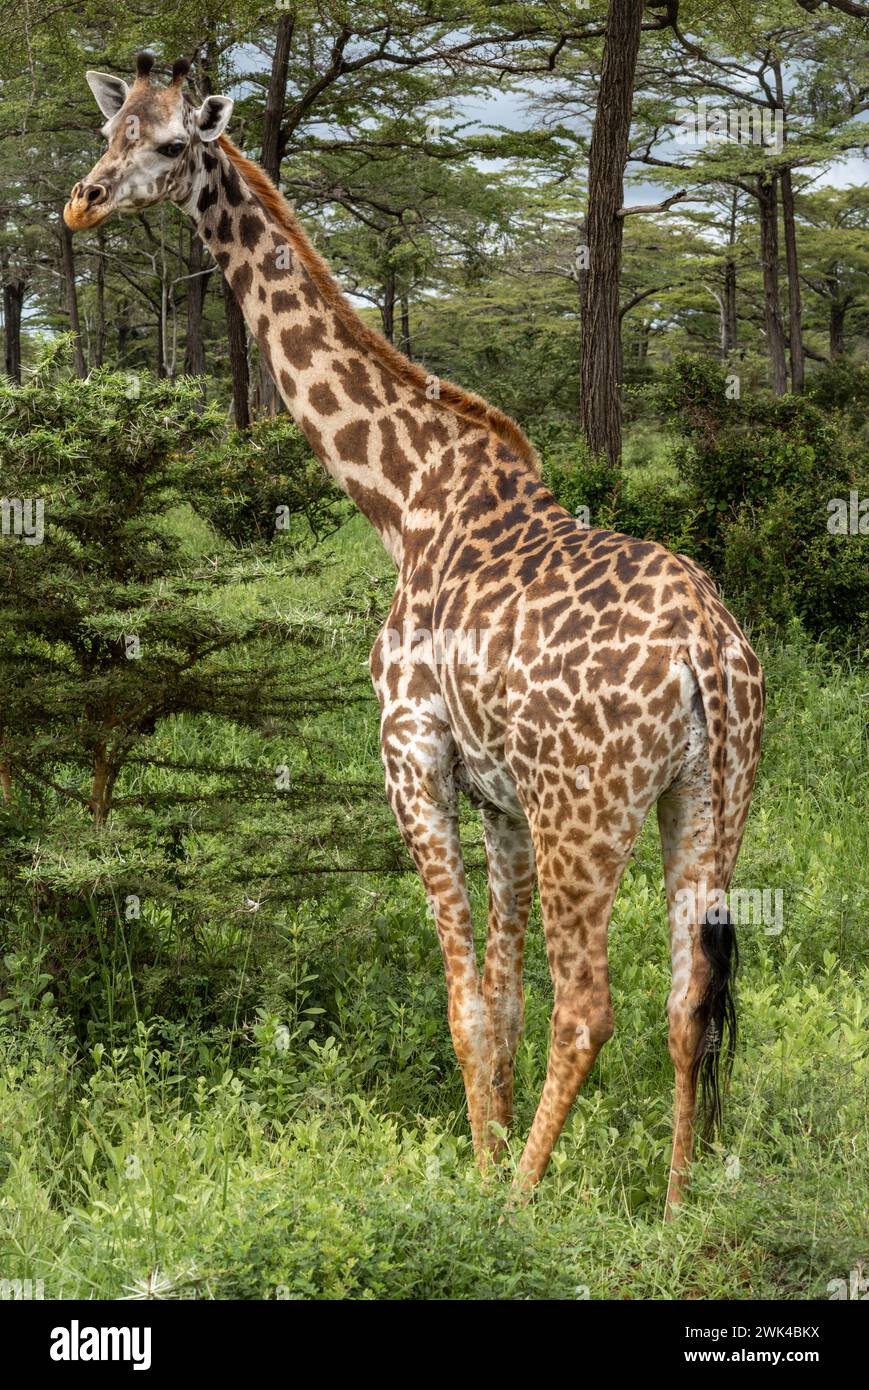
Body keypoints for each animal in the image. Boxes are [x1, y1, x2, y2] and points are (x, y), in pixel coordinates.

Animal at [65, 54, 765, 1216]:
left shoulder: (411, 756)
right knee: (686, 1000)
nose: (80, 201)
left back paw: (523, 1205)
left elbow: (463, 1000)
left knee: (592, 1004)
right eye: (109, 129)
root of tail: (707, 653)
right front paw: (489, 1152)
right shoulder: (501, 799)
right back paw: (672, 1209)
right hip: (709, 799)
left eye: (169, 145)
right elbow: (502, 1001)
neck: (397, 497)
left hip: (587, 808)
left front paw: (477, 1183)